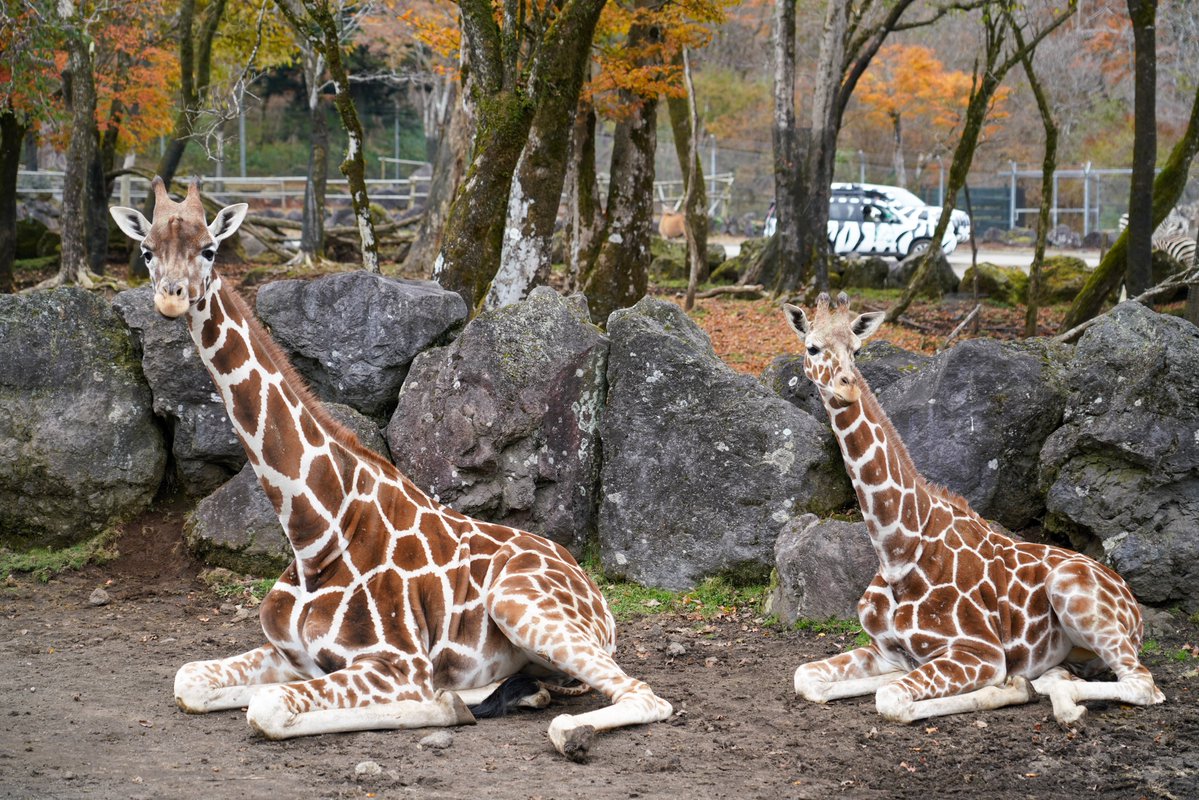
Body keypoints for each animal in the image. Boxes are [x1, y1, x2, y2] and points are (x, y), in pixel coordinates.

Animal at [109, 178, 671, 760]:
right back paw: (507, 692)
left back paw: (536, 720)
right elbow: (189, 679)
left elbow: (267, 707)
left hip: (520, 604)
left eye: (209, 249)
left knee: (643, 695)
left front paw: (444, 704)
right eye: (146, 251)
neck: (315, 535)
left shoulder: (397, 663)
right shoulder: (289, 655)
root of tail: (593, 591)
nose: (171, 297)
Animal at [782, 292, 1164, 727]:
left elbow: (891, 699)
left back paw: (1056, 697)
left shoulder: (981, 652)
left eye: (857, 350)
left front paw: (1007, 687)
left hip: (1073, 595)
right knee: (1071, 675)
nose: (847, 388)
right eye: (812, 347)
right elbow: (806, 676)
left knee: (1143, 684)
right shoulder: (886, 651)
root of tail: (1132, 602)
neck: (897, 550)